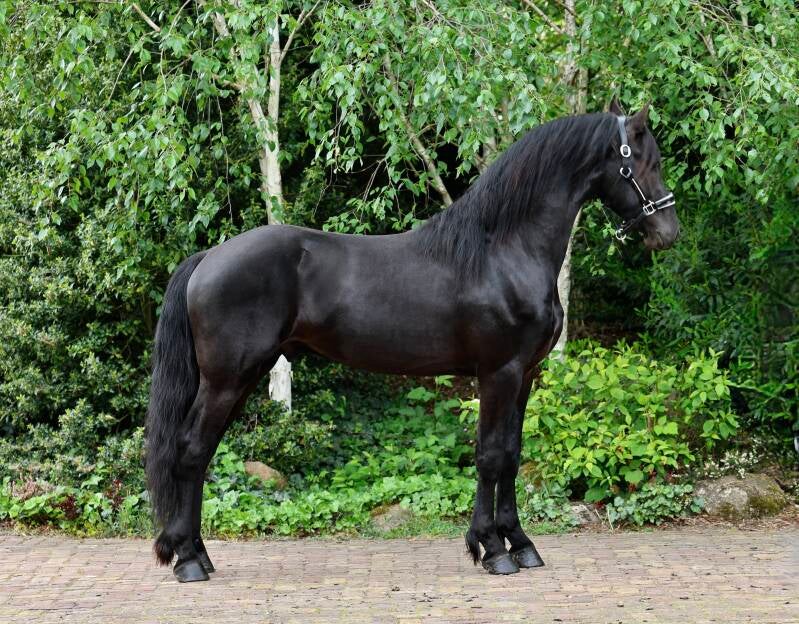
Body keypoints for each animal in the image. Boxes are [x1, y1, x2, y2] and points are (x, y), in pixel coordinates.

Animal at [145, 99, 680, 582]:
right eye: (644, 162)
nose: (668, 232)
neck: (504, 250)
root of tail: (209, 256)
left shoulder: (525, 375)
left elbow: (512, 454)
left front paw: (521, 544)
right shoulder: (498, 373)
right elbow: (490, 456)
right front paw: (492, 549)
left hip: (241, 377)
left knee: (201, 453)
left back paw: (198, 555)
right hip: (227, 379)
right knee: (190, 450)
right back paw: (188, 560)